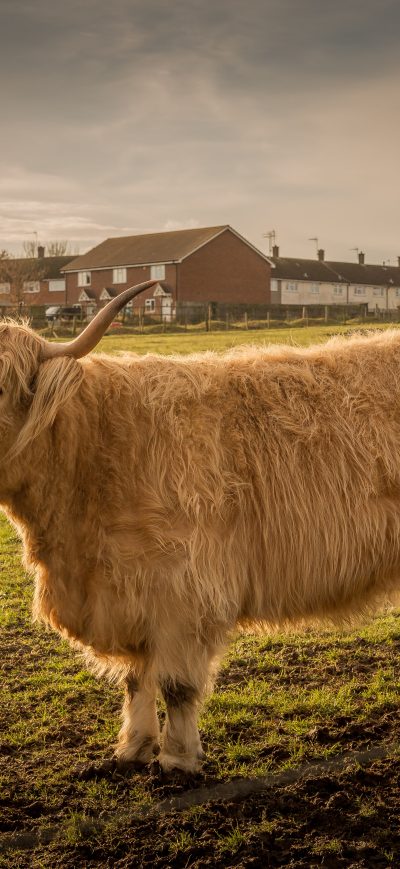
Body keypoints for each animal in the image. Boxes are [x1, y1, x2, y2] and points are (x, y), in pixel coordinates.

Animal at [0, 282, 399, 775]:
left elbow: (176, 685)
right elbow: (136, 680)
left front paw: (178, 757)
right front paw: (133, 747)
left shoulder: (183, 593)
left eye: (0, 387)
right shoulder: (127, 596)